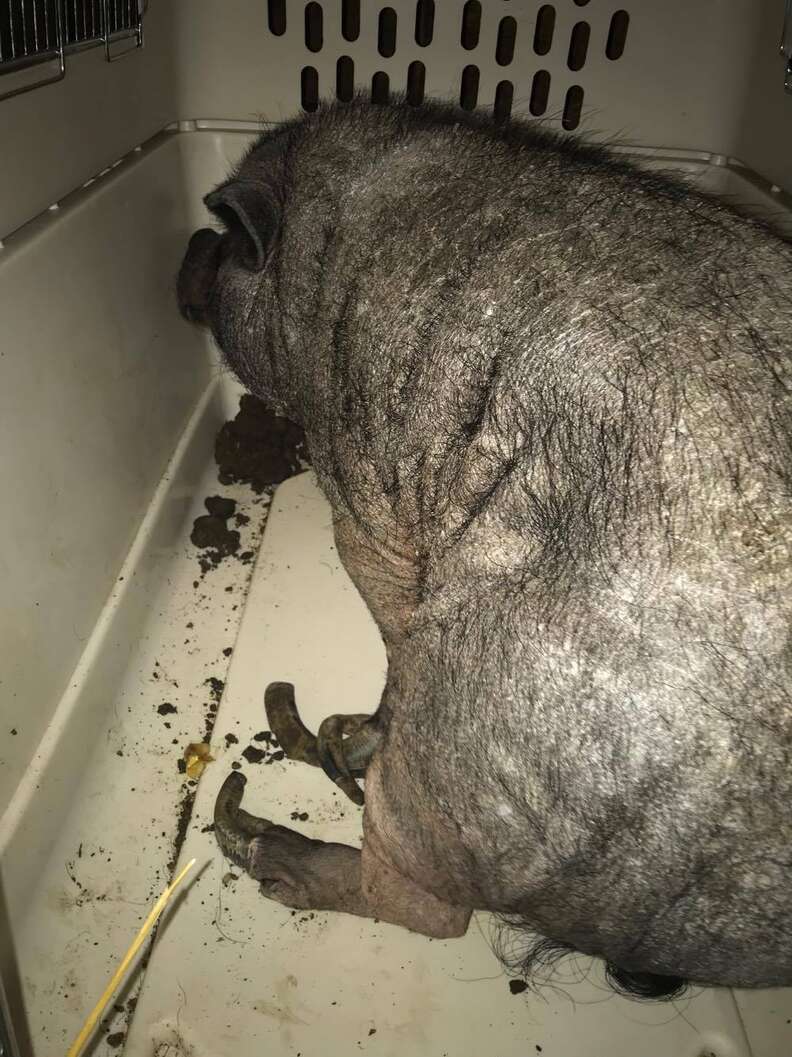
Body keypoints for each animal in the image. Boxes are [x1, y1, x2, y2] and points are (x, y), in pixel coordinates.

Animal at [178, 96, 792, 998]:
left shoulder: (364, 509)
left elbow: (384, 606)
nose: (187, 247)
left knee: (428, 905)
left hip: (464, 749)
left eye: (222, 240)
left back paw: (265, 837)